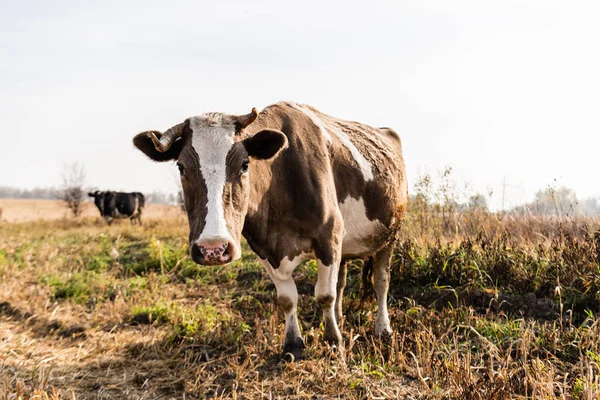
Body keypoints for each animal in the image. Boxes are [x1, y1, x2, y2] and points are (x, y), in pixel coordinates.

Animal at [132, 102, 408, 360]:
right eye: (181, 167)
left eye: (245, 165)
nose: (213, 249)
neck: (280, 178)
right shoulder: (263, 246)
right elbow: (287, 298)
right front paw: (293, 344)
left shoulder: (328, 236)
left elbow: (324, 295)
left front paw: (333, 343)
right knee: (341, 280)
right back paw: (340, 318)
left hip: (391, 235)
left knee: (381, 281)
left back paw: (382, 328)